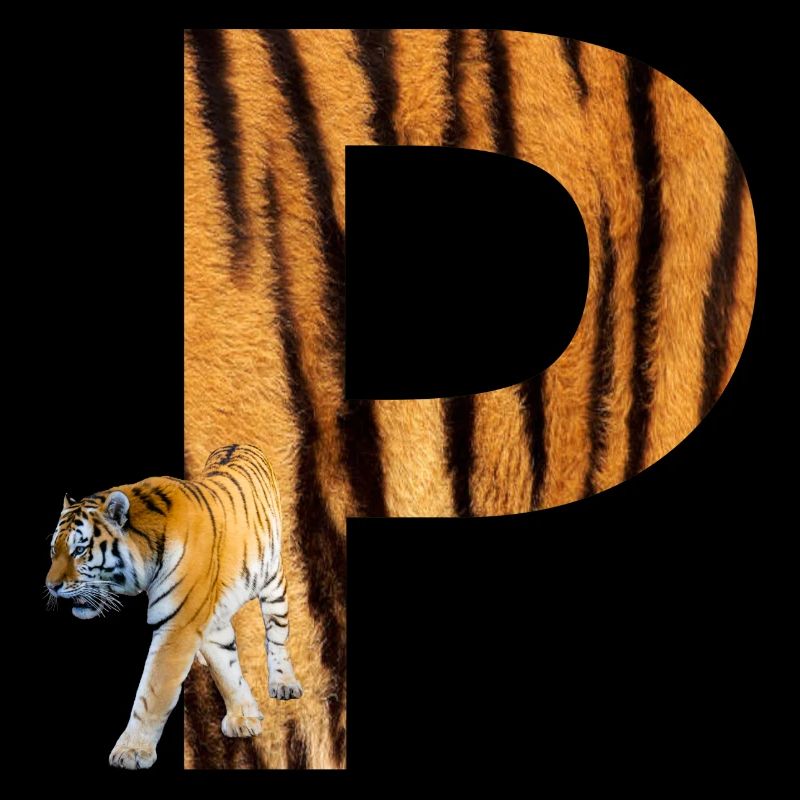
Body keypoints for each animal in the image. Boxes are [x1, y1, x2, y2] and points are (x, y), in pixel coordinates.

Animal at [45, 444, 302, 769]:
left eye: (79, 550)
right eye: (53, 551)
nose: (50, 586)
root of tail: (239, 444)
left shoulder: (178, 626)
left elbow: (152, 692)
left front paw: (131, 751)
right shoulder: (205, 620)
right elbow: (226, 670)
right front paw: (244, 717)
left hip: (272, 580)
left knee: (277, 635)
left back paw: (284, 683)